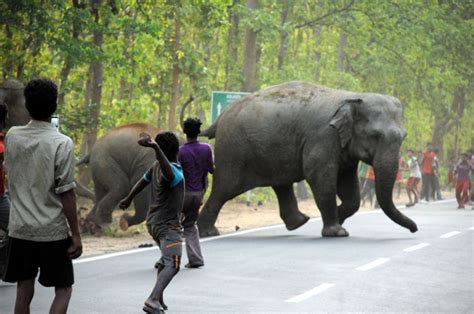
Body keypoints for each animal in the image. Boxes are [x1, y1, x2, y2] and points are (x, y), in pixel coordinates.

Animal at [198, 82, 416, 237]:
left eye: (403, 137)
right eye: (375, 136)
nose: (414, 229)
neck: (352, 97)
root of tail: (220, 117)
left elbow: (349, 187)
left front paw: (338, 219)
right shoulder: (323, 136)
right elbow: (320, 177)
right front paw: (337, 231)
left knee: (281, 184)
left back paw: (299, 222)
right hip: (233, 151)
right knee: (224, 188)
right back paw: (208, 233)